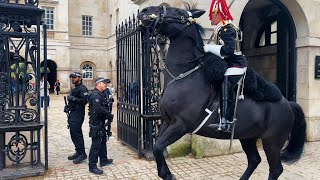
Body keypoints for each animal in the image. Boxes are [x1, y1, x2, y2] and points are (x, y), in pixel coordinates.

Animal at [137, 5, 304, 180]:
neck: (184, 74)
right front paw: (165, 173)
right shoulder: (167, 122)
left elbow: (158, 147)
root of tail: (288, 103)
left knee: (275, 169)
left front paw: (169, 175)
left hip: (272, 142)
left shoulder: (180, 125)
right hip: (248, 137)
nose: (144, 11)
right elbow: (157, 147)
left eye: (177, 11)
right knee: (254, 160)